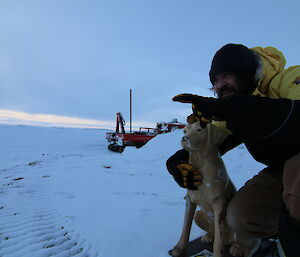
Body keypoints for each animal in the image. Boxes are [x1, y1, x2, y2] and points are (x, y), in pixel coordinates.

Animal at [170, 120, 258, 256]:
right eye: (185, 130)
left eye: (199, 130)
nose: (184, 138)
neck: (200, 164)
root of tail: (228, 241)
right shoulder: (190, 199)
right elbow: (185, 227)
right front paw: (179, 248)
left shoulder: (219, 204)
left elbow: (217, 242)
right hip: (199, 215)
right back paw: (208, 236)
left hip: (240, 229)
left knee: (252, 244)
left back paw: (238, 248)